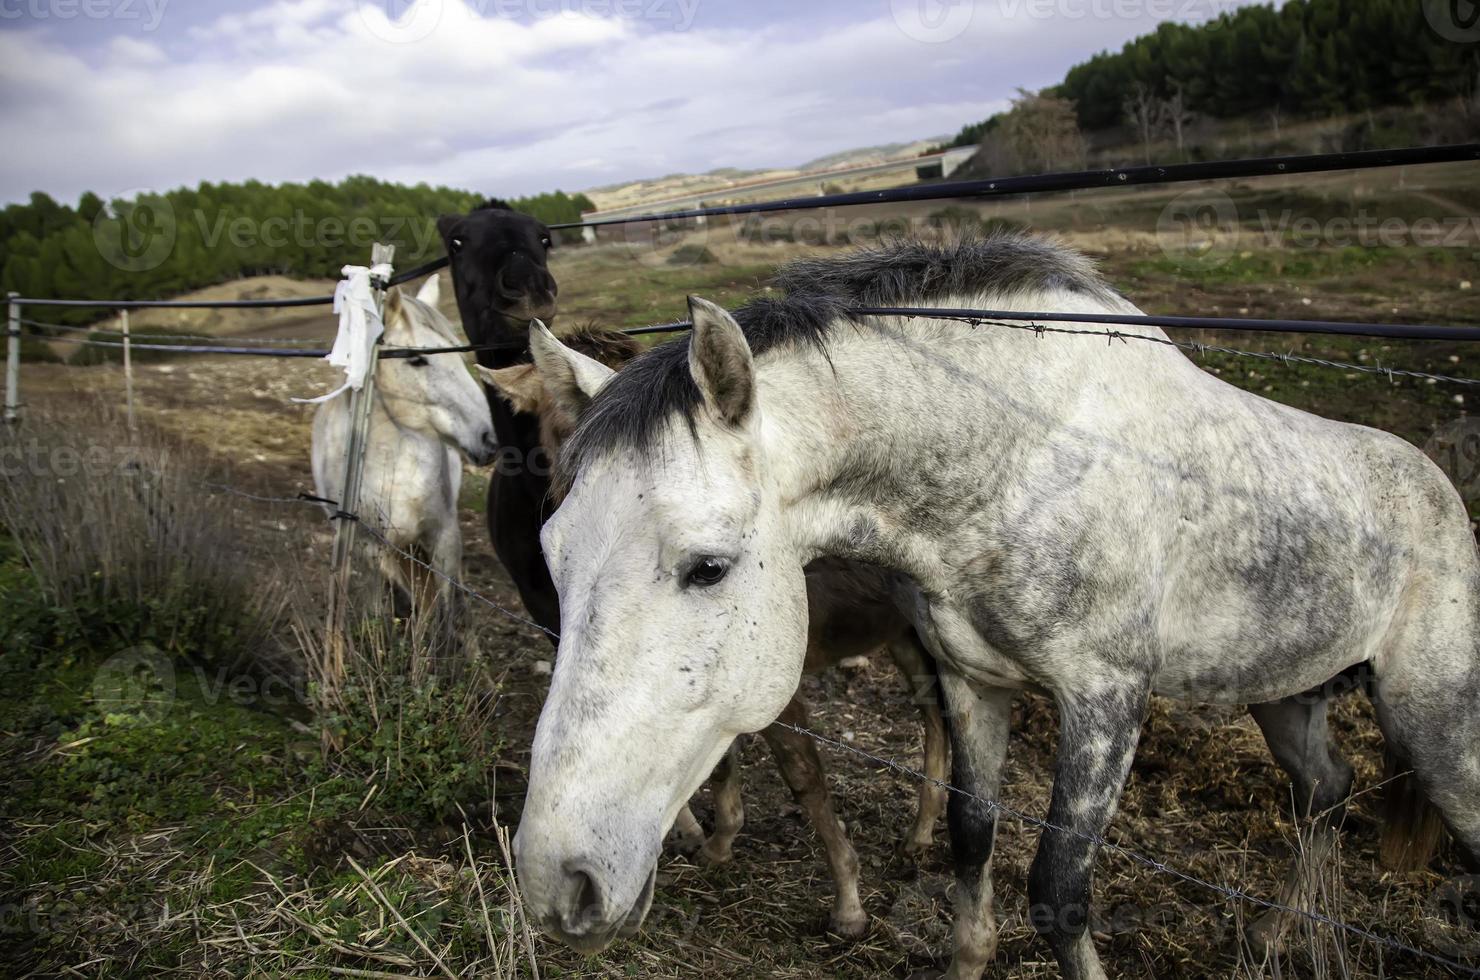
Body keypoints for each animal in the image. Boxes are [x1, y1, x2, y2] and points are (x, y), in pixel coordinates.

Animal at [312, 278, 497, 621]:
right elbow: (388, 602)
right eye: (416, 359)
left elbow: (446, 612)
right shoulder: (372, 548)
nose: (489, 438)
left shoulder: (443, 537)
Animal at [512, 238, 1480, 980]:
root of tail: (1441, 490)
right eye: (553, 553)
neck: (1018, 454)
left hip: (1434, 723)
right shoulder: (973, 680)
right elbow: (972, 837)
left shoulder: (1105, 702)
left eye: (706, 568)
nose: (555, 883)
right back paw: (1275, 934)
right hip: (1285, 692)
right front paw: (966, 957)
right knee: (1324, 792)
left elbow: (1058, 889)